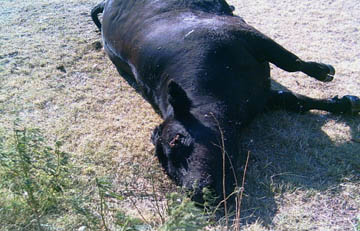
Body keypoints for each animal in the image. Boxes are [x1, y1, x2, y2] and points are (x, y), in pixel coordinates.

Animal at [90, 0, 360, 206]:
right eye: (166, 168)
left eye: (177, 140)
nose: (196, 193)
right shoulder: (263, 97)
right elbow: (296, 100)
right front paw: (345, 102)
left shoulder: (245, 35)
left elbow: (293, 64)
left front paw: (326, 75)